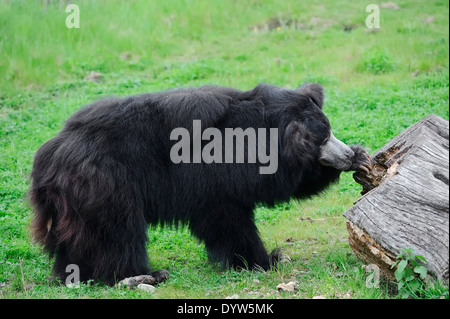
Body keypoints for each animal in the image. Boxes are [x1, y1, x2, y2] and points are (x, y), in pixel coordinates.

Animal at [29, 82, 370, 284]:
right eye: (323, 138)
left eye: (330, 131)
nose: (345, 154)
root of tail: (48, 160)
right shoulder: (217, 178)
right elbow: (228, 221)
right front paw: (269, 259)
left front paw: (362, 156)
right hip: (105, 184)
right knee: (117, 232)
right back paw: (143, 275)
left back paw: (77, 273)